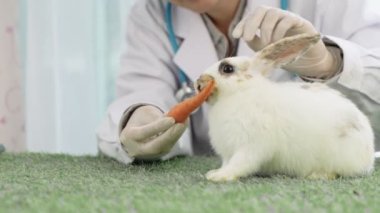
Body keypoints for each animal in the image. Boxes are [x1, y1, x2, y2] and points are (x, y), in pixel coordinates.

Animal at [197, 33, 376, 181]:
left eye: (227, 69)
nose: (198, 83)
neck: (240, 93)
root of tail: (368, 155)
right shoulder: (228, 151)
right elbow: (227, 162)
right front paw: (214, 172)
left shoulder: (250, 146)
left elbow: (239, 164)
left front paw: (219, 176)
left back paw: (317, 175)